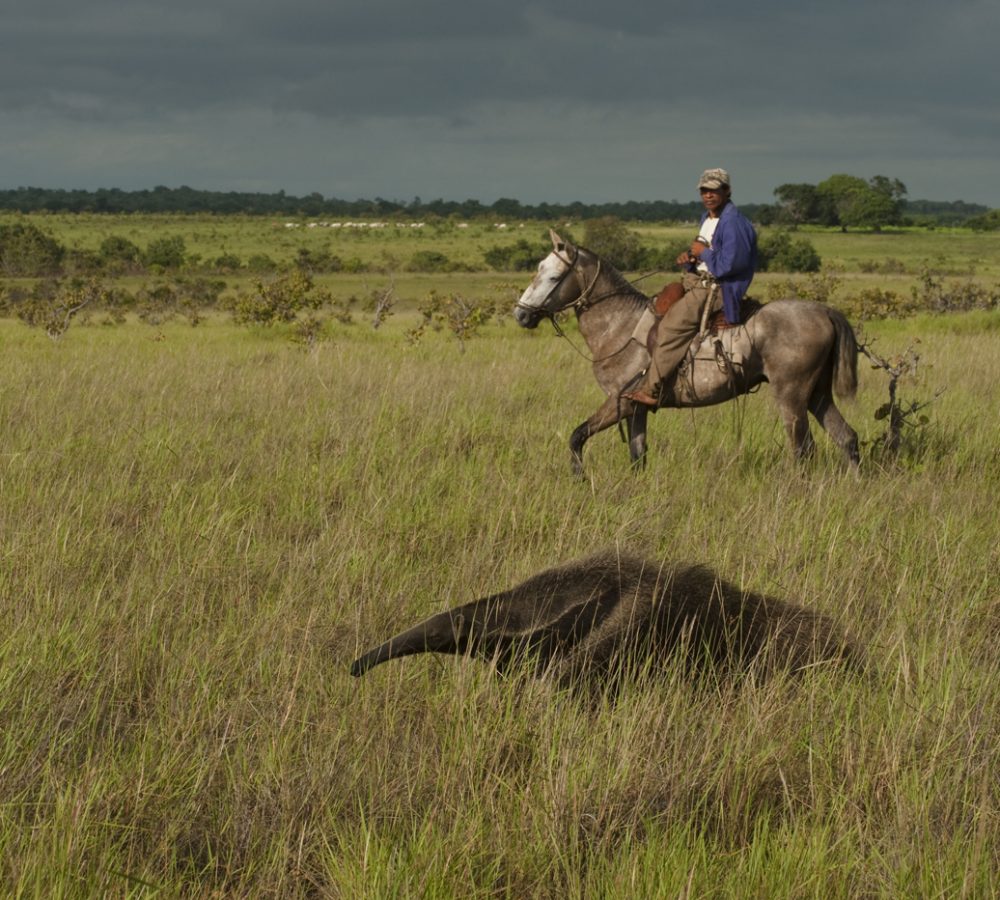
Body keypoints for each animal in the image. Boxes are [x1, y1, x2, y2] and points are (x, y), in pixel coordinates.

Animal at [516, 230, 860, 478]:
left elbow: (577, 436)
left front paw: (579, 477)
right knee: (847, 438)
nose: (521, 314)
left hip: (791, 395)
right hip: (816, 395)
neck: (620, 326)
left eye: (552, 277)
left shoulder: (620, 402)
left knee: (803, 448)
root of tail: (825, 311)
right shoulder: (638, 408)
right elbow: (638, 456)